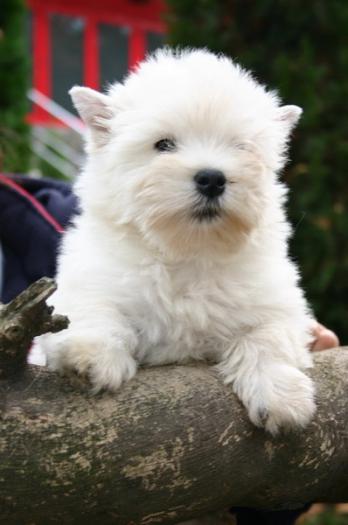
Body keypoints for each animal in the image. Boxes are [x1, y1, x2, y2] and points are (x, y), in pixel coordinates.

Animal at [37, 48, 316, 434]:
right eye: (163, 145)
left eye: (240, 147)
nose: (212, 178)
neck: (188, 250)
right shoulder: (89, 284)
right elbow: (95, 311)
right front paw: (88, 355)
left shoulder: (279, 304)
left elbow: (268, 338)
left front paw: (281, 398)